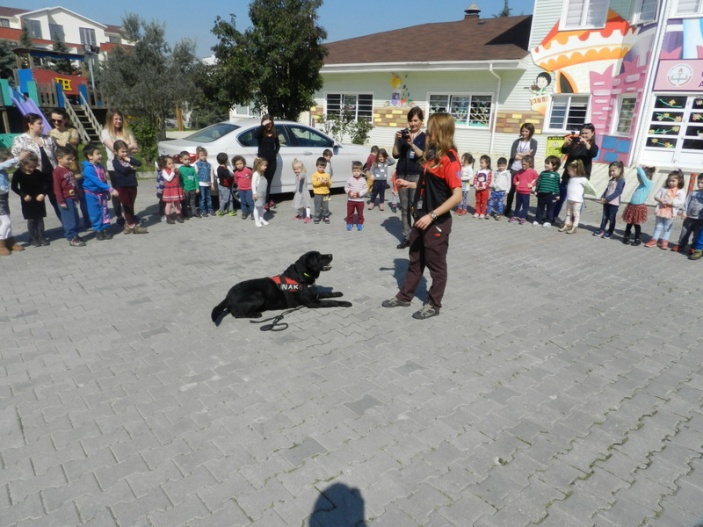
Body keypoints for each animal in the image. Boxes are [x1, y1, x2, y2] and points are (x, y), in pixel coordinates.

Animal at [209, 250, 352, 324]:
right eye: (319, 256)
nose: (331, 254)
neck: (301, 275)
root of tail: (228, 295)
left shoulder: (314, 294)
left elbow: (326, 294)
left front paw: (337, 293)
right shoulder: (313, 303)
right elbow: (332, 301)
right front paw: (345, 302)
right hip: (258, 295)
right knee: (236, 313)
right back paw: (255, 314)